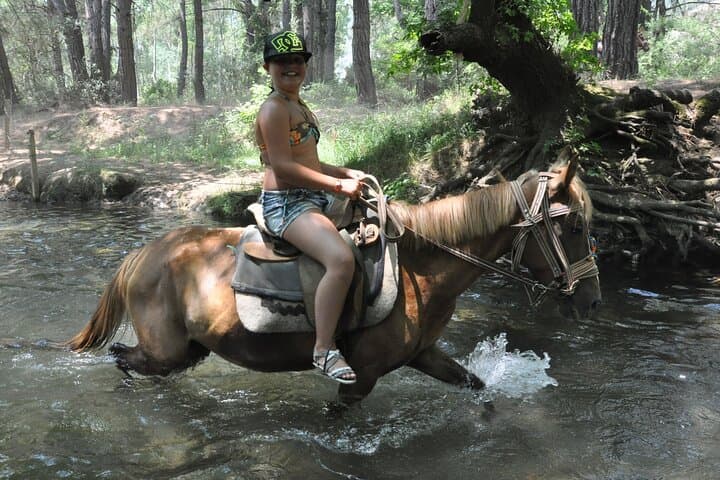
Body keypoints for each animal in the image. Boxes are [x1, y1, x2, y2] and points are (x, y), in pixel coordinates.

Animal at [68, 158, 601, 405]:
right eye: (575, 227)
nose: (593, 302)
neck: (421, 269)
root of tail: (142, 254)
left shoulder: (424, 354)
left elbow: (476, 385)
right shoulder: (360, 380)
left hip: (188, 351)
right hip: (167, 350)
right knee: (123, 357)